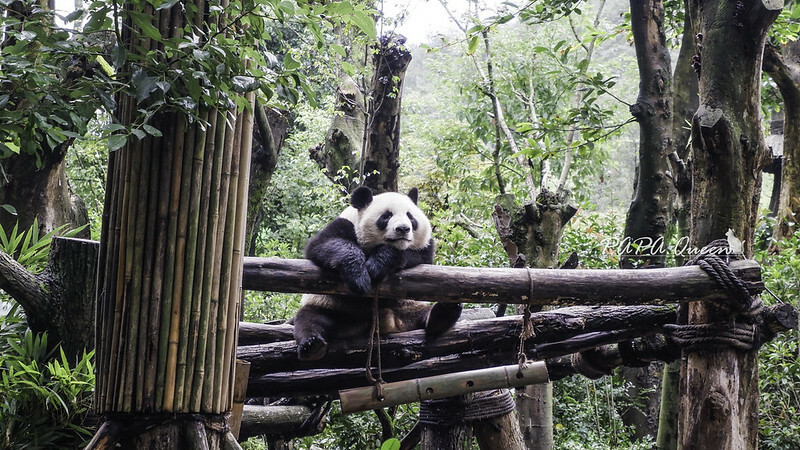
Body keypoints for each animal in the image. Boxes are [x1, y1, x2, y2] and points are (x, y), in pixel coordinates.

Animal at [291, 186, 462, 361]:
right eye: (386, 216)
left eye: (410, 216)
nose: (403, 229)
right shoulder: (345, 225)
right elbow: (322, 245)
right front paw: (359, 277)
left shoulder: (422, 248)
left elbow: (417, 255)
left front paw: (377, 266)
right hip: (335, 309)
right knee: (310, 318)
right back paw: (312, 346)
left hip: (407, 308)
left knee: (426, 315)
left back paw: (444, 312)